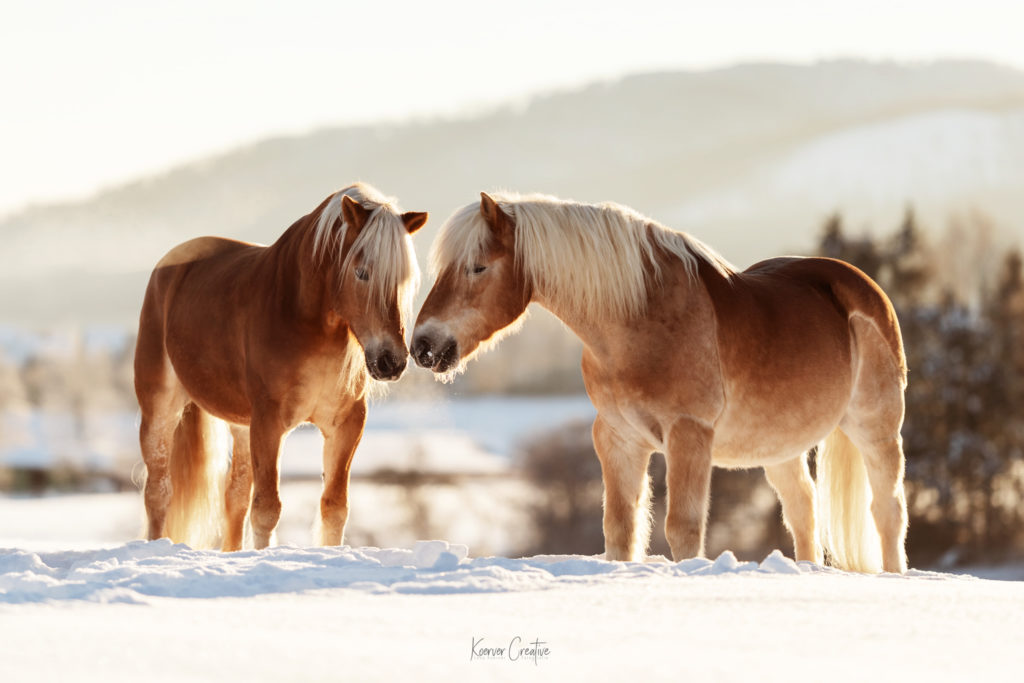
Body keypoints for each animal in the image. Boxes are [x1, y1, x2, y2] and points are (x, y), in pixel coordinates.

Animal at [134, 181, 425, 548]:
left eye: (407, 280)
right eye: (361, 273)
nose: (391, 361)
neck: (301, 313)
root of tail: (170, 264)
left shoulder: (346, 423)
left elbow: (334, 508)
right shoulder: (270, 422)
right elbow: (267, 509)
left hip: (241, 426)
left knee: (235, 497)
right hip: (160, 410)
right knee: (158, 492)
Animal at [411, 191, 909, 573]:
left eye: (478, 267)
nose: (423, 346)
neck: (640, 319)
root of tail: (865, 288)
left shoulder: (688, 435)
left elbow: (682, 527)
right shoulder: (617, 438)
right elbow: (620, 526)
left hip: (876, 430)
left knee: (887, 512)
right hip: (780, 445)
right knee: (804, 511)